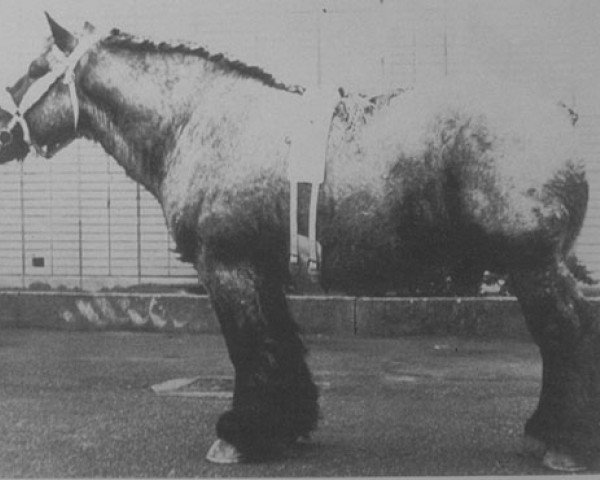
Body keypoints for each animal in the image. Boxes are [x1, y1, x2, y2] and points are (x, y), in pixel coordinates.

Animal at [0, 14, 596, 472]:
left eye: (34, 71)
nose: (3, 132)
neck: (198, 119)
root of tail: (561, 116)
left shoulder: (228, 267)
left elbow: (248, 347)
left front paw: (239, 435)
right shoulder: (262, 271)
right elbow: (279, 343)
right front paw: (286, 426)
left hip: (533, 265)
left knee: (566, 337)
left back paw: (564, 442)